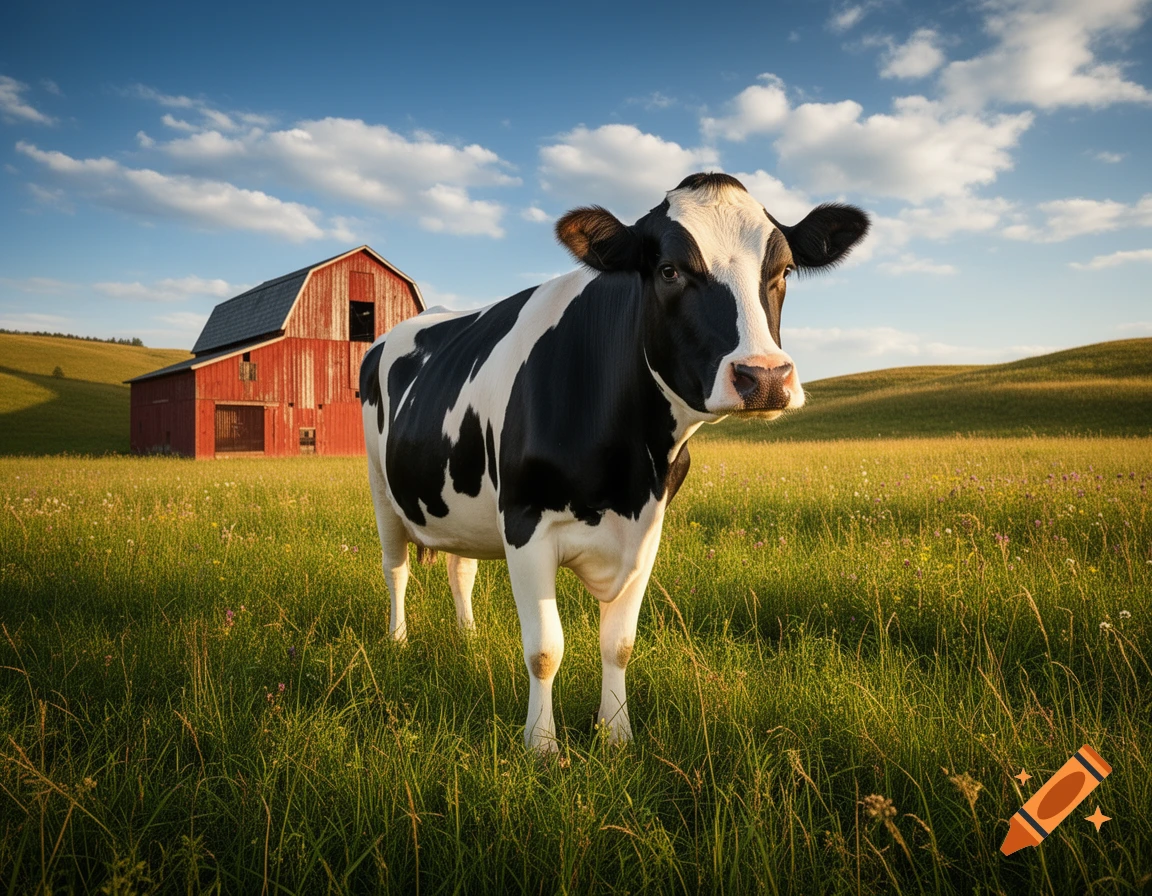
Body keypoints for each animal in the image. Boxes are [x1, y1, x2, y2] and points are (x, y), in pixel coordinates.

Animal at [361, 172, 868, 750]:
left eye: (782, 271)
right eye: (670, 270)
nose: (764, 377)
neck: (625, 470)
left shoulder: (648, 526)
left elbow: (619, 643)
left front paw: (617, 736)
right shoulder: (525, 522)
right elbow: (544, 649)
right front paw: (542, 746)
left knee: (460, 566)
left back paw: (467, 638)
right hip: (382, 490)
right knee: (396, 568)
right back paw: (398, 641)